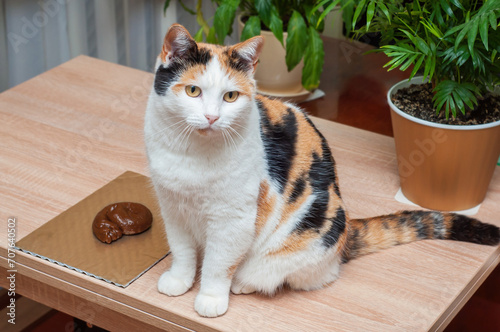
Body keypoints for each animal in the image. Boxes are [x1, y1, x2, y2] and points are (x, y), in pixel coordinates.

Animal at [145, 23, 500, 316]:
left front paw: (211, 298)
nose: (212, 118)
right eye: (193, 91)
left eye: (230, 96)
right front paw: (178, 281)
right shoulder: (171, 207)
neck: (191, 155)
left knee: (306, 275)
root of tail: (345, 237)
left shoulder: (232, 220)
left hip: (309, 236)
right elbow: (182, 251)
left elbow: (219, 264)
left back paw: (244, 283)